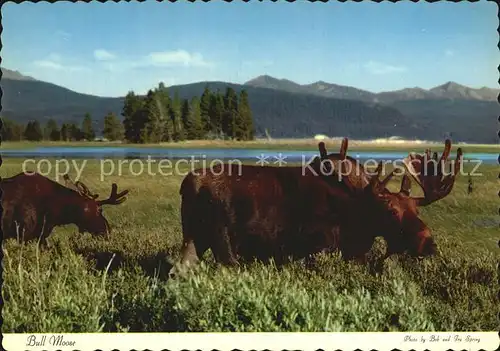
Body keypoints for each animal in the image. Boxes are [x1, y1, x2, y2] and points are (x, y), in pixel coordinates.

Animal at [170, 138, 462, 278]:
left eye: (417, 210)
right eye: (391, 211)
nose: (429, 244)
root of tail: (190, 184)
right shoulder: (316, 249)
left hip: (194, 238)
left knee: (178, 270)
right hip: (223, 242)